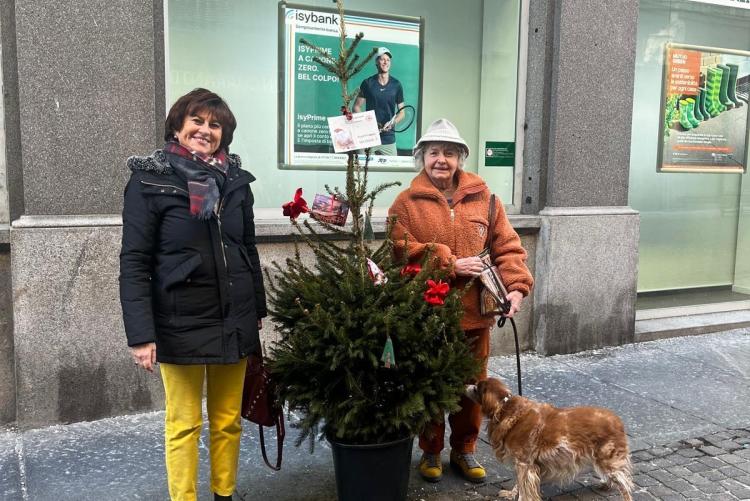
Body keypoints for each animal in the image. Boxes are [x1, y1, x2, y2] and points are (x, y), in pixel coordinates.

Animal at [470, 376, 636, 498]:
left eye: (477, 387)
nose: (467, 384)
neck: (505, 408)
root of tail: (617, 420)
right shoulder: (524, 464)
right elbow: (519, 484)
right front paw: (511, 494)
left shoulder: (525, 464)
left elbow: (524, 489)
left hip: (608, 460)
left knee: (625, 485)